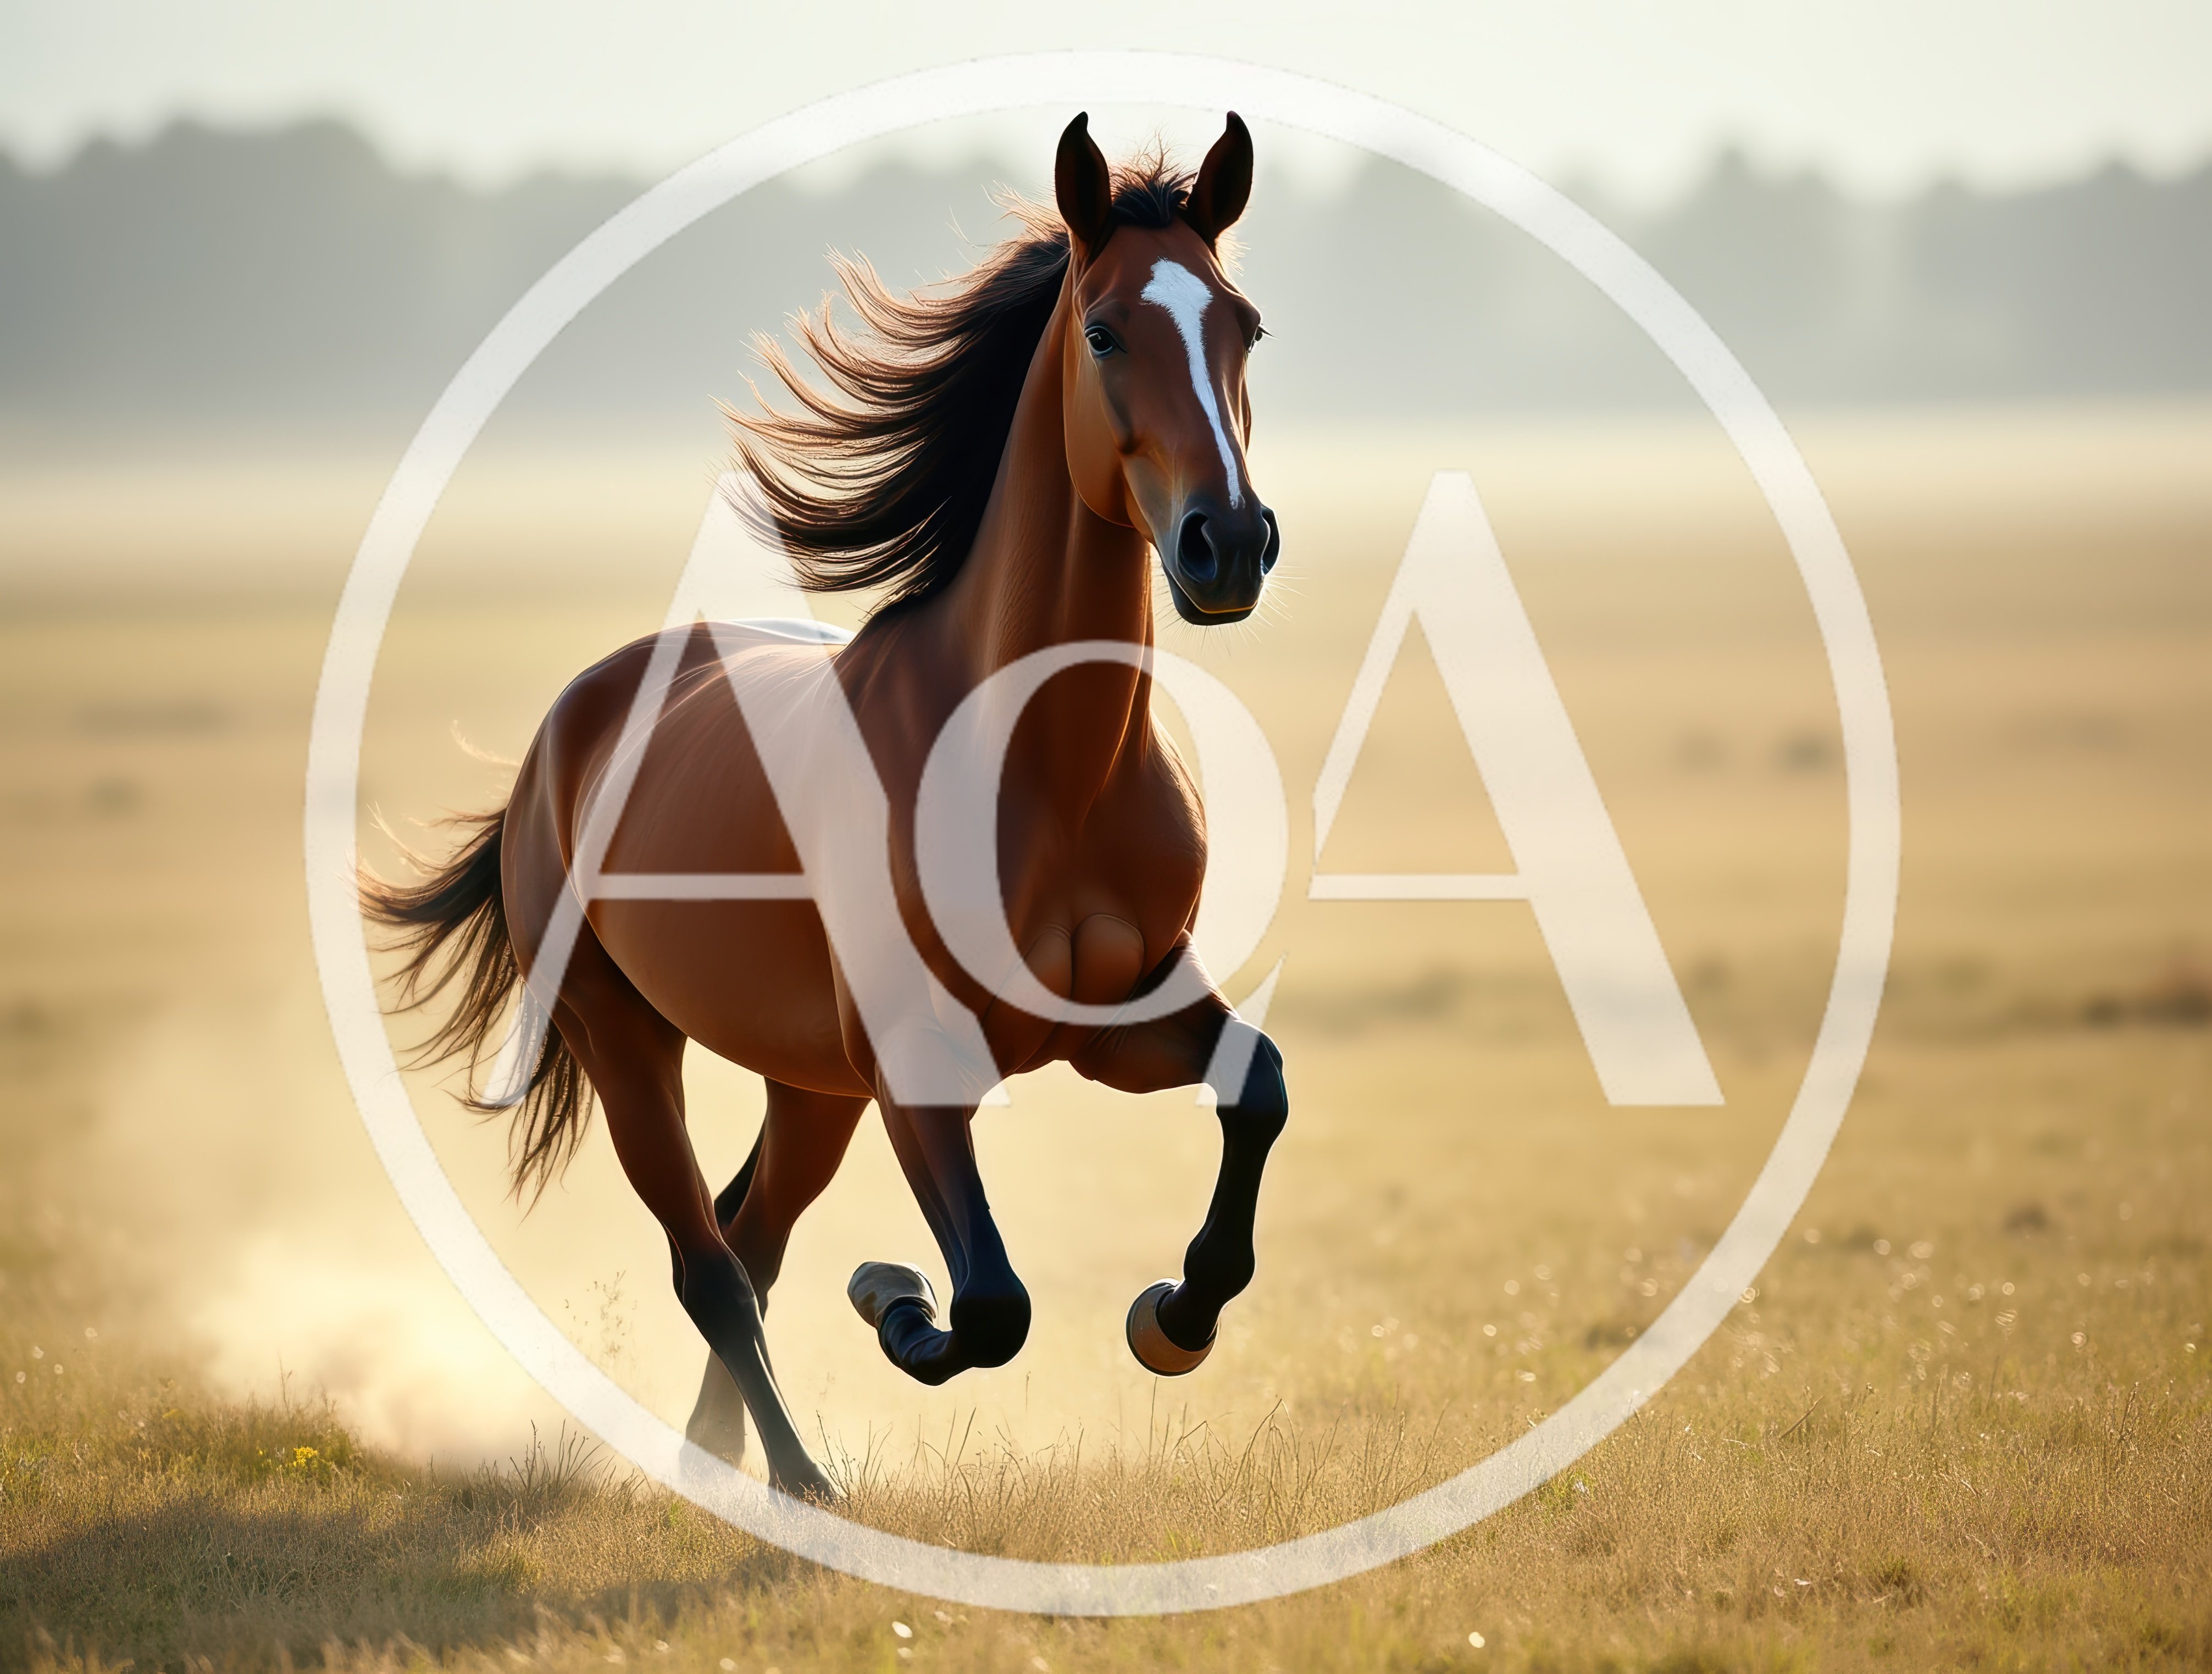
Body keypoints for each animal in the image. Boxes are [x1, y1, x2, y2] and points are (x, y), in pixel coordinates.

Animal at [364, 112, 1288, 1500]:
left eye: (1245, 325)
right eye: (1107, 331)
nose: (1225, 546)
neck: (1042, 770)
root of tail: (562, 733)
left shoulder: (1117, 1017)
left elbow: (1258, 1087)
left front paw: (1171, 1318)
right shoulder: (914, 1061)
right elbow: (990, 1304)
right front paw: (896, 1297)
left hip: (810, 1085)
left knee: (746, 1236)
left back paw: (719, 1459)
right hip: (629, 1044)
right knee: (710, 1266)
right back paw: (795, 1477)